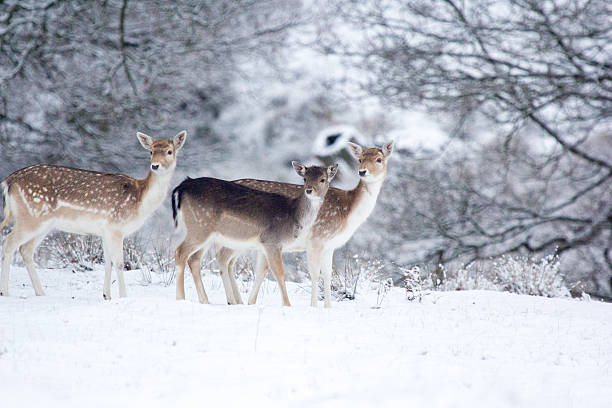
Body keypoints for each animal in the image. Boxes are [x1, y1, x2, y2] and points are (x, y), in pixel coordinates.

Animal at [0, 131, 186, 300]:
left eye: (169, 151)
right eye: (151, 152)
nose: (155, 166)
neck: (140, 202)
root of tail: (9, 181)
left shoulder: (106, 230)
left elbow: (107, 261)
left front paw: (106, 295)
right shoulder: (116, 226)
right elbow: (119, 263)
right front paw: (123, 296)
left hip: (43, 223)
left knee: (25, 249)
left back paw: (40, 292)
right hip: (31, 217)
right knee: (8, 242)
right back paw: (6, 292)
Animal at [170, 161, 338, 304]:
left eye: (323, 179)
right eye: (304, 178)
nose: (309, 190)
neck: (293, 216)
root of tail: (184, 185)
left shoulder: (264, 245)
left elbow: (262, 271)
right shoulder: (272, 241)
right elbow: (279, 273)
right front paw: (287, 305)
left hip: (206, 232)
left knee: (195, 259)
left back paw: (206, 300)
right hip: (199, 226)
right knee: (180, 252)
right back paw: (180, 298)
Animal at [215, 142, 394, 308]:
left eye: (379, 159)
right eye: (360, 159)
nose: (362, 171)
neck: (348, 213)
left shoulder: (329, 245)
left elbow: (327, 274)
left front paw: (328, 307)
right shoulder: (316, 239)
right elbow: (314, 273)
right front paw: (313, 305)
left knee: (230, 262)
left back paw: (237, 301)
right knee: (224, 257)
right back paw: (233, 300)